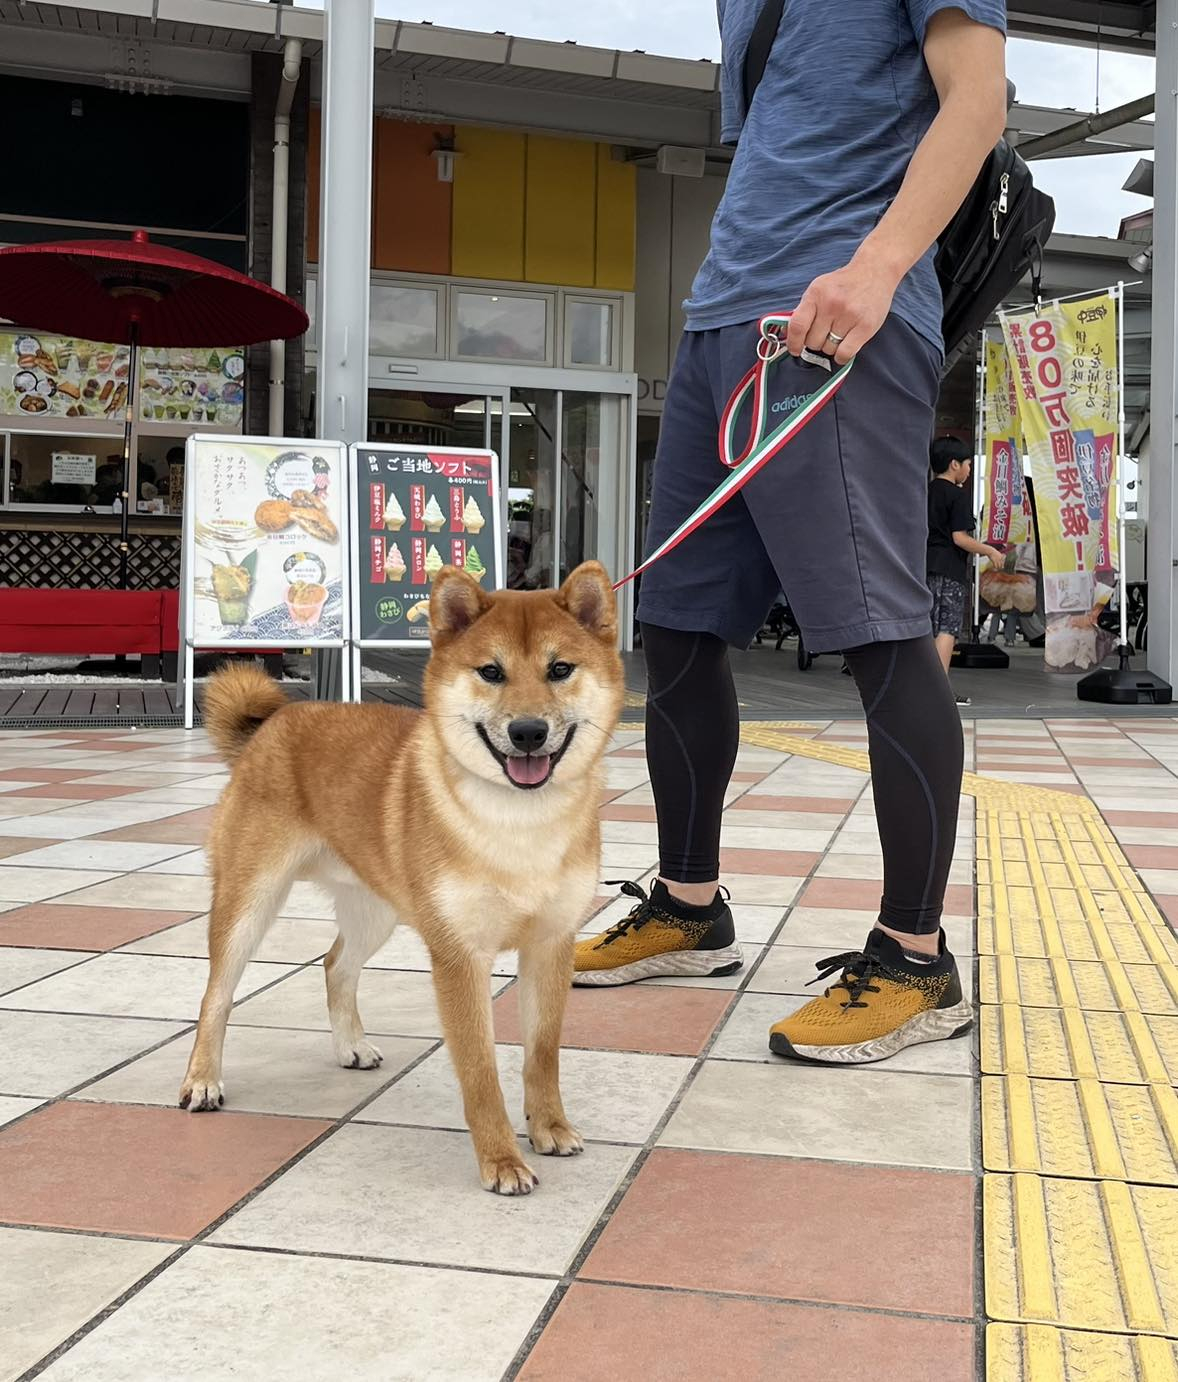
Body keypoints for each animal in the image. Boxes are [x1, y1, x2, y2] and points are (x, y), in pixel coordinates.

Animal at [179, 566, 622, 1194]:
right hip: (250, 901)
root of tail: (274, 722)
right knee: (216, 994)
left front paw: (550, 1127)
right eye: (491, 672)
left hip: (376, 911)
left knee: (335, 964)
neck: (518, 824)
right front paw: (502, 1159)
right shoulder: (459, 956)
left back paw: (352, 1046)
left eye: (560, 669)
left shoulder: (551, 944)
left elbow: (542, 1053)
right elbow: (480, 1071)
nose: (529, 732)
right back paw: (202, 1080)